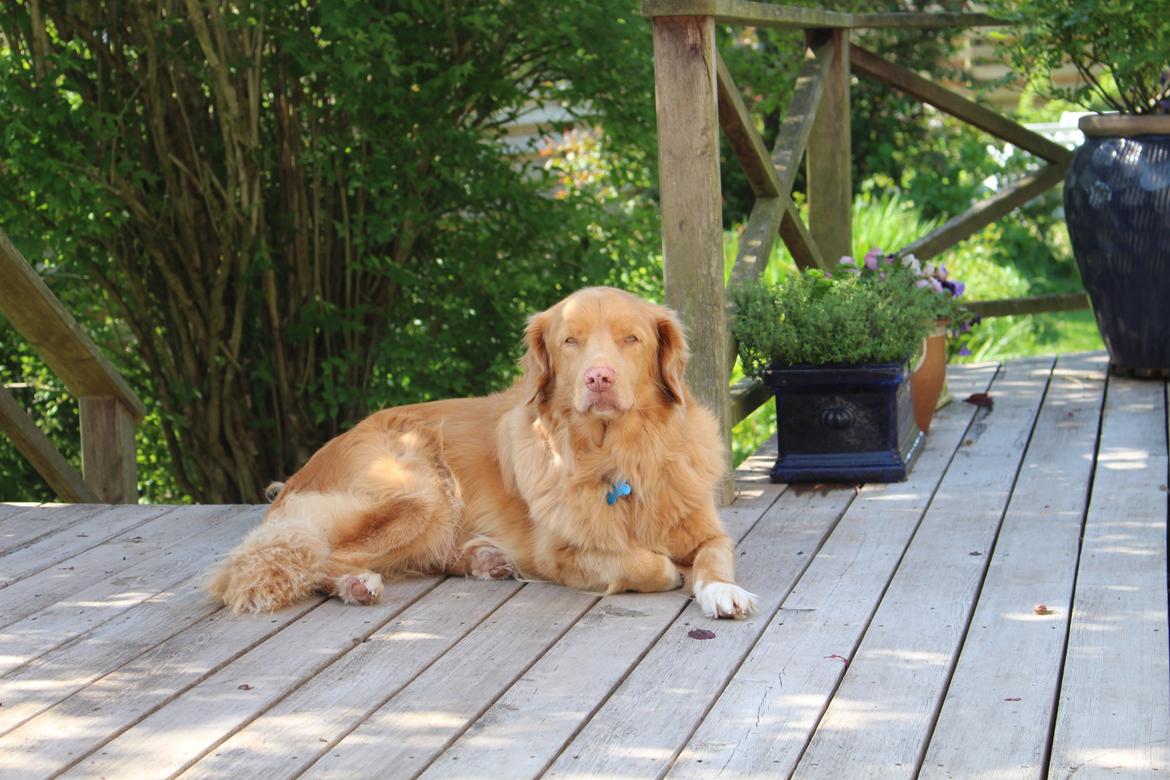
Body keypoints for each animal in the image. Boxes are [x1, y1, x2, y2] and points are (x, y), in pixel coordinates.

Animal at [209, 286, 758, 622]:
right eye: (571, 341)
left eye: (631, 339)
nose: (598, 378)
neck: (616, 455)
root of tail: (300, 475)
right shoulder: (559, 554)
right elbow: (649, 566)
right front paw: (671, 571)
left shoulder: (707, 529)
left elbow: (713, 556)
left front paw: (721, 590)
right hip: (421, 492)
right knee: (315, 556)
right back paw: (356, 584)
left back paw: (485, 560)